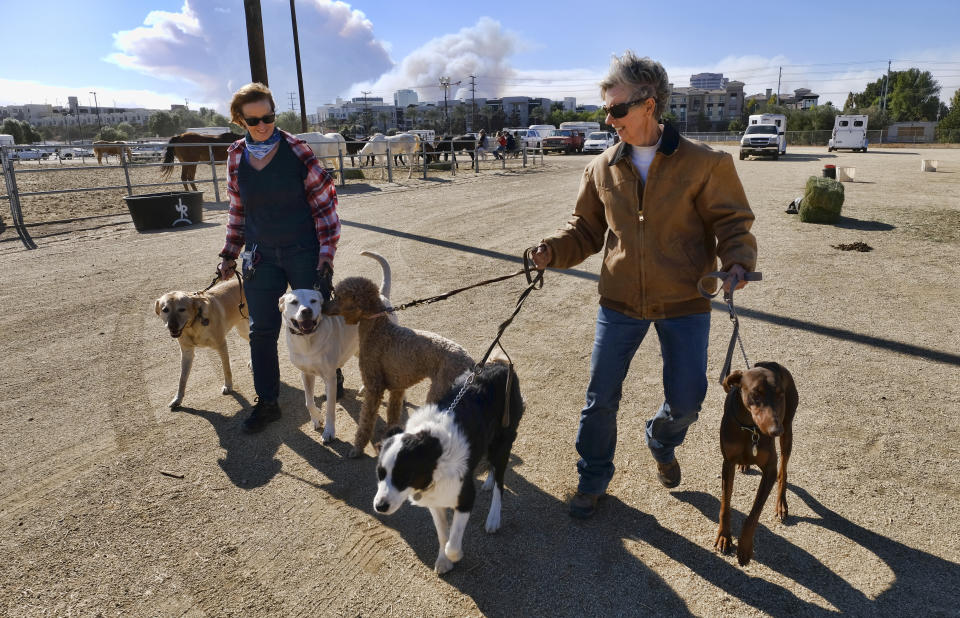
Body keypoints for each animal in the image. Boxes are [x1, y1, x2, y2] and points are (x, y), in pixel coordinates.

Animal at [156, 276, 249, 406]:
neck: (193, 325)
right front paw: (178, 398)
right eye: (165, 309)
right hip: (242, 330)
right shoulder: (187, 353)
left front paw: (228, 386)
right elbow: (182, 379)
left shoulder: (221, 345)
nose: (172, 326)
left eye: (182, 309)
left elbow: (226, 369)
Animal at [278, 250, 394, 442]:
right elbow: (308, 401)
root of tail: (381, 297)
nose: (306, 311)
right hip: (359, 349)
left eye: (313, 301)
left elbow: (331, 409)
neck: (308, 340)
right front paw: (316, 418)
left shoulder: (330, 379)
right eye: (293, 302)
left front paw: (329, 431)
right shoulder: (305, 374)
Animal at [716, 358, 800, 564]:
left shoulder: (769, 470)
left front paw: (744, 549)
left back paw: (781, 504)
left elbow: (754, 514)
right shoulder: (727, 462)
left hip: (788, 429)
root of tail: (771, 362)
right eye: (755, 393)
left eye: (779, 394)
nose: (775, 431)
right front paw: (724, 537)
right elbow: (725, 505)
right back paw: (745, 463)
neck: (749, 428)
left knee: (783, 470)